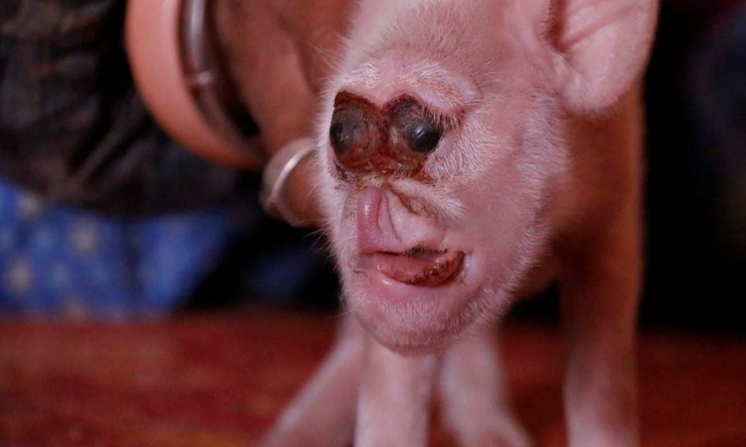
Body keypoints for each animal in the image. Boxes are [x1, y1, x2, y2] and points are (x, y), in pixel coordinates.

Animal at [256, 0, 658, 446]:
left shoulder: (617, 198)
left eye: (421, 133)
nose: (369, 208)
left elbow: (601, 365)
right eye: (341, 133)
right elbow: (391, 381)